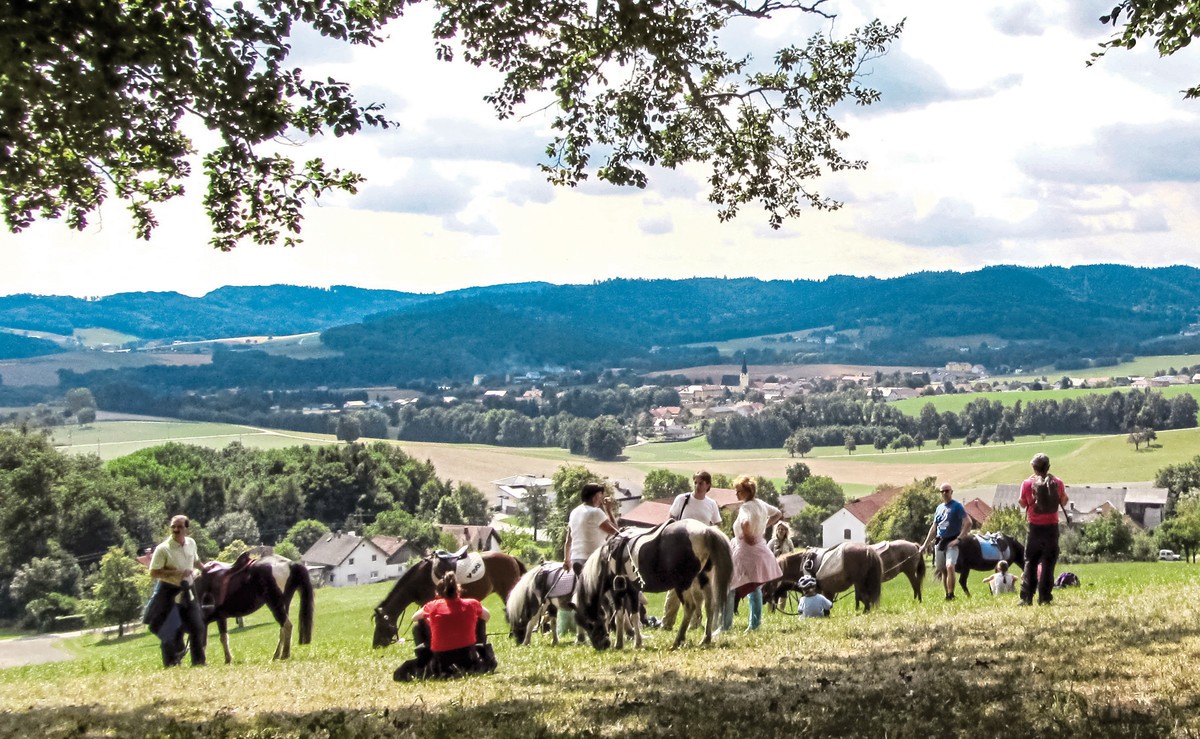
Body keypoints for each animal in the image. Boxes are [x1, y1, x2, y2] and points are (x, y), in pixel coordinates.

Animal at [571, 520, 729, 652]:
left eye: (589, 623)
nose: (600, 646)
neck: (606, 559)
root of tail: (705, 531)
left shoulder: (619, 592)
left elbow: (621, 615)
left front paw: (621, 643)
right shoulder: (633, 591)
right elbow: (633, 615)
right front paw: (636, 642)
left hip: (682, 585)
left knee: (690, 607)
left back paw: (678, 640)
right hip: (703, 579)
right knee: (709, 606)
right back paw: (705, 639)